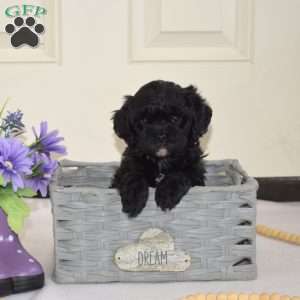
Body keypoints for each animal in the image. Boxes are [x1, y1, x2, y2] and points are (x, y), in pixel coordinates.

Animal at [111, 79, 212, 217]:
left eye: (175, 118)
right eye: (144, 120)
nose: (160, 135)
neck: (161, 162)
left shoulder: (195, 171)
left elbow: (180, 173)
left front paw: (166, 194)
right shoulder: (125, 168)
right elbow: (132, 175)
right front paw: (133, 199)